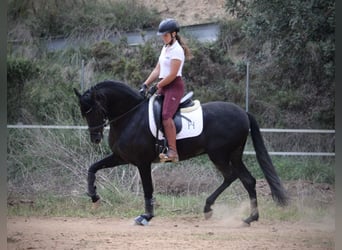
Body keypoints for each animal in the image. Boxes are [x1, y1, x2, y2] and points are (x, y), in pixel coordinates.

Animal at [75, 80, 288, 227]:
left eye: (93, 110)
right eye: (84, 113)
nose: (95, 138)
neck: (131, 116)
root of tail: (243, 113)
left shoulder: (143, 163)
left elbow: (148, 189)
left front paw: (146, 216)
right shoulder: (121, 157)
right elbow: (93, 168)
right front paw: (94, 196)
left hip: (219, 155)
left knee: (231, 176)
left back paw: (209, 208)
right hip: (234, 155)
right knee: (248, 180)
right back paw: (250, 218)